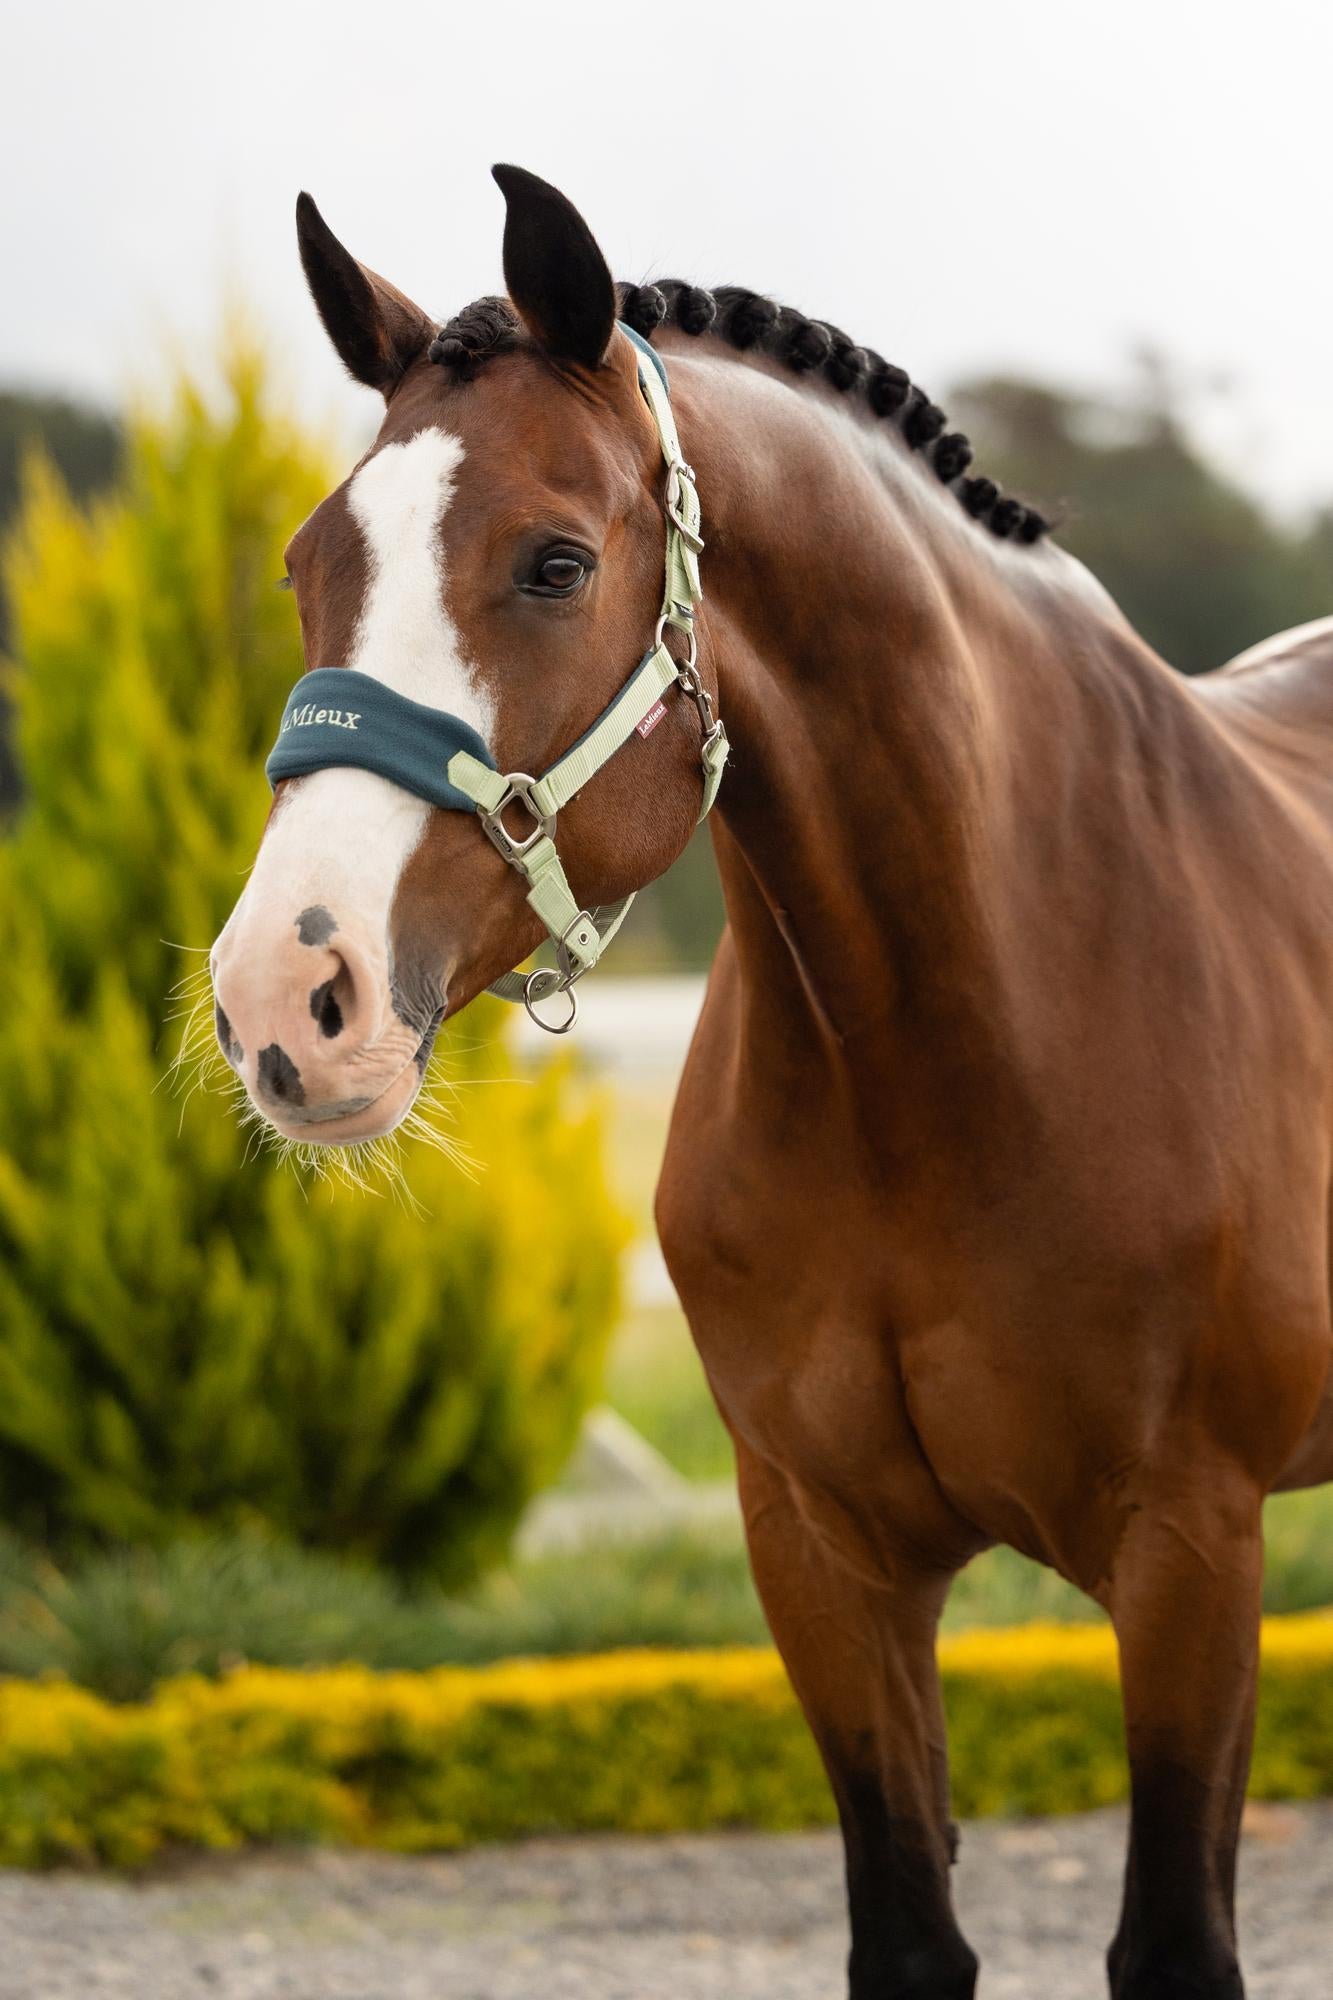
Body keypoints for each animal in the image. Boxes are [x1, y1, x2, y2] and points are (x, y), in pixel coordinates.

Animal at [209, 165, 1333, 1999]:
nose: (284, 1000)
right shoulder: (817, 1554)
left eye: (553, 561)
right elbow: (907, 1934)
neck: (962, 1044)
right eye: (315, 561)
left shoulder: (1189, 1549)